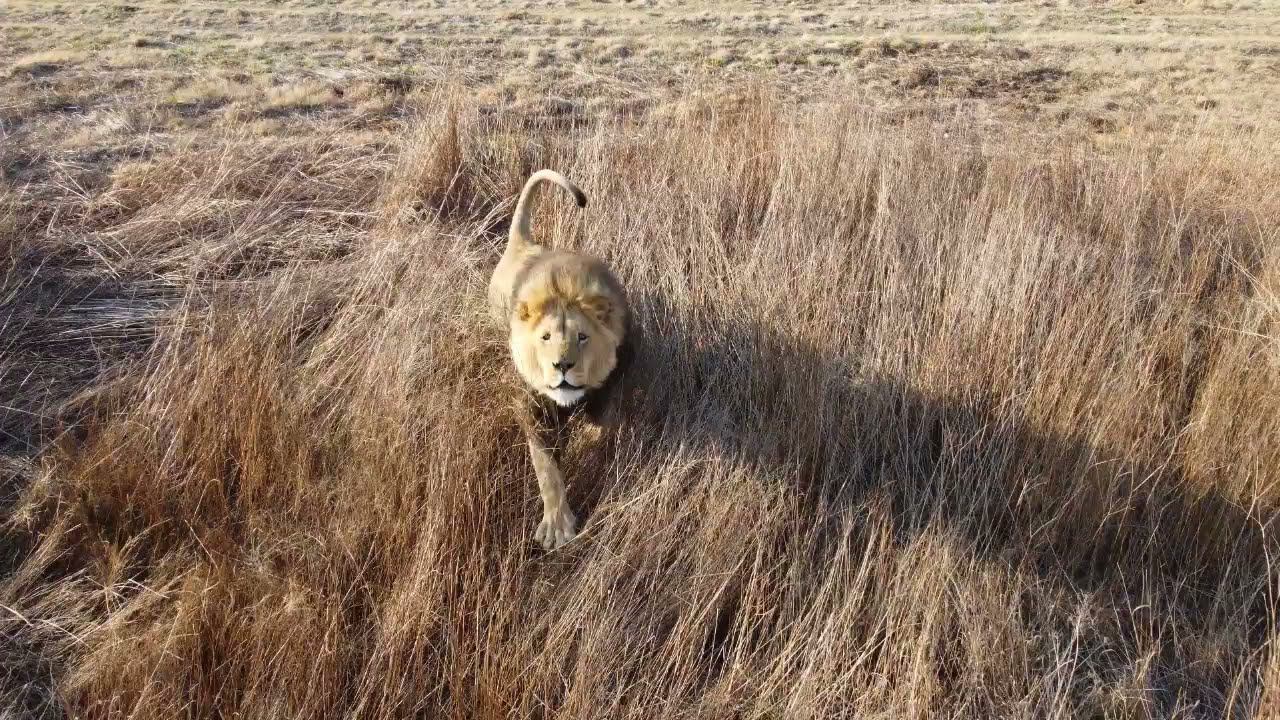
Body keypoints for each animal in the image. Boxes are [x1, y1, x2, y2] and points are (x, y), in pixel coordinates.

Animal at [489, 169, 631, 550]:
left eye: (582, 337)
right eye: (545, 338)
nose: (562, 366)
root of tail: (522, 244)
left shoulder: (610, 388)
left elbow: (602, 429)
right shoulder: (526, 402)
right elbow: (545, 467)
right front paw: (557, 526)